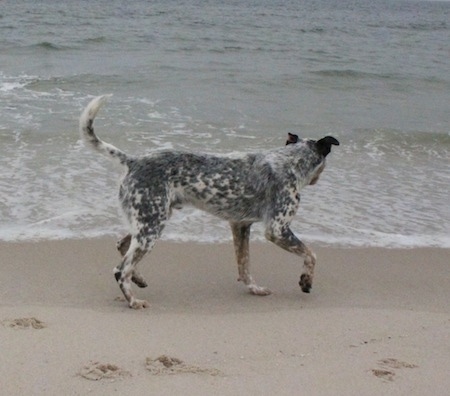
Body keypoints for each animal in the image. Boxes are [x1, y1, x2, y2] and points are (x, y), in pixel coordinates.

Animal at [79, 96, 338, 310]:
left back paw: (138, 278)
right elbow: (311, 254)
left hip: (147, 222)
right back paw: (133, 301)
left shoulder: (240, 225)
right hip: (151, 228)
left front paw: (254, 289)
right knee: (120, 270)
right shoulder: (277, 229)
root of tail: (133, 161)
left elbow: (244, 265)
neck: (290, 162)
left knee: (122, 246)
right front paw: (306, 281)